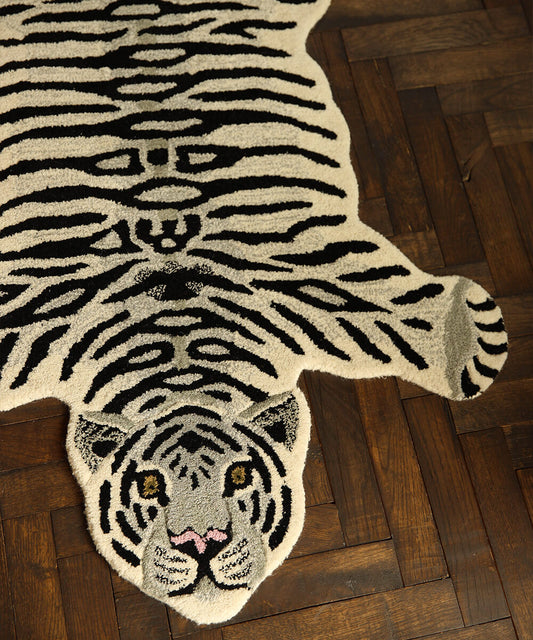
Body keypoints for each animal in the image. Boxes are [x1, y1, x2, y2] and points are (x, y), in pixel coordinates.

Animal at [0, 0, 507, 624]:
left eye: (238, 476)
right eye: (150, 487)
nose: (201, 542)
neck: (179, 347)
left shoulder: (301, 271)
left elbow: (403, 311)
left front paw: (473, 334)